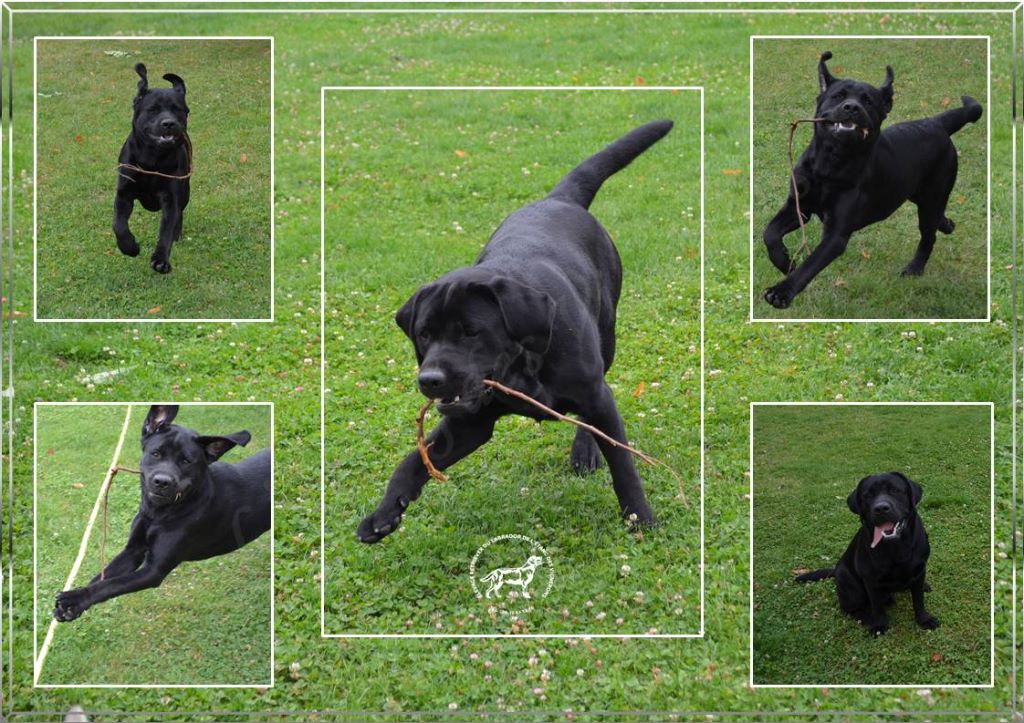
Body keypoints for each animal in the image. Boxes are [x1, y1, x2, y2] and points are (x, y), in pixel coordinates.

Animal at [53, 405, 270, 618]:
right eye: (155, 453)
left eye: (186, 461)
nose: (162, 481)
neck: (159, 514)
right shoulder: (133, 550)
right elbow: (102, 577)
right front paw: (73, 602)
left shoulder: (154, 570)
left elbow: (110, 585)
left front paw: (75, 599)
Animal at [356, 120, 675, 544]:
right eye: (424, 334)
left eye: (471, 331)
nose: (430, 379)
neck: (523, 364)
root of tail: (559, 199)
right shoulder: (469, 422)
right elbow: (412, 461)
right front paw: (384, 512)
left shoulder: (594, 394)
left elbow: (623, 463)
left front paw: (641, 518)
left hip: (606, 341)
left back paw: (585, 451)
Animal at [761, 51, 983, 307]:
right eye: (838, 96)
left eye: (868, 102)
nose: (851, 107)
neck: (830, 165)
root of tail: (936, 122)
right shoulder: (800, 206)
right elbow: (770, 233)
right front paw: (785, 262)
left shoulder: (836, 234)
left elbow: (811, 264)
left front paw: (782, 291)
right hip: (918, 195)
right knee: (937, 220)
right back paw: (947, 224)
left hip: (932, 197)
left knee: (928, 237)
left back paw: (914, 269)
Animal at [794, 471, 937, 634]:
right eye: (867, 496)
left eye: (895, 490)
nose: (881, 508)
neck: (896, 547)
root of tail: (835, 570)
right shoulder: (870, 580)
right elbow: (877, 606)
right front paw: (879, 625)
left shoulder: (919, 569)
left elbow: (918, 600)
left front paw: (924, 619)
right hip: (851, 586)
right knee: (851, 609)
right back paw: (869, 619)